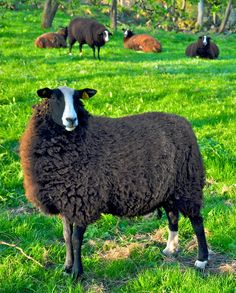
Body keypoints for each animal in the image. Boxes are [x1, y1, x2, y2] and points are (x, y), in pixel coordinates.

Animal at [19, 85, 208, 280]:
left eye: (78, 98)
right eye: (54, 98)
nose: (71, 120)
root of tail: (184, 122)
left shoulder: (83, 201)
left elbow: (76, 239)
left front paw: (77, 273)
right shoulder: (66, 201)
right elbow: (66, 235)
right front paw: (67, 267)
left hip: (188, 184)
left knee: (197, 221)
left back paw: (201, 260)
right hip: (168, 190)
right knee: (173, 216)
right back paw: (170, 249)